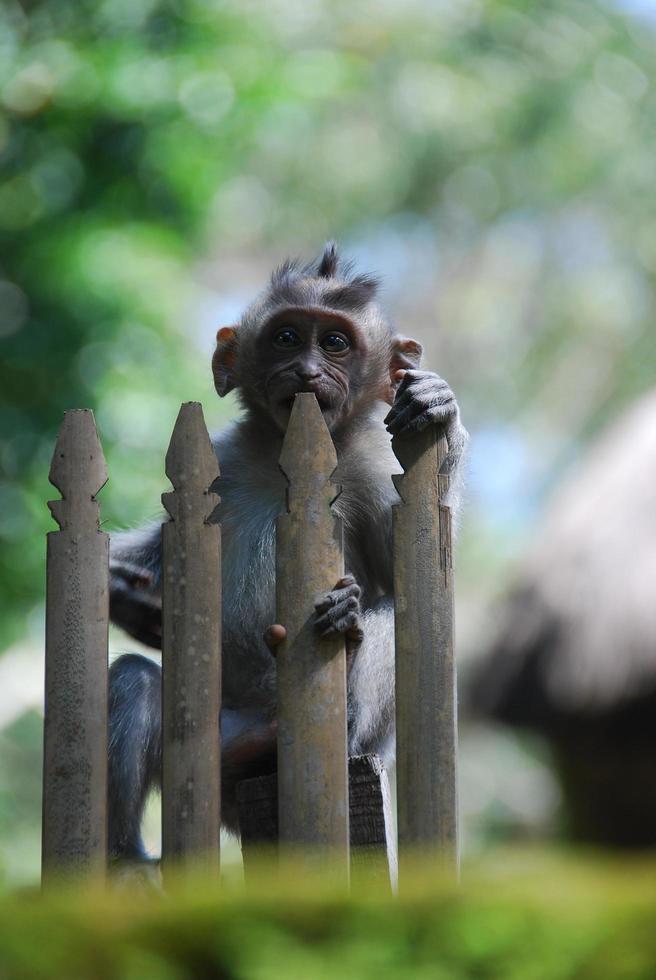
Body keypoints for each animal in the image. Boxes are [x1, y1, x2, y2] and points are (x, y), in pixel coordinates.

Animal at [107, 245, 466, 856]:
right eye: (287, 337)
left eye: (336, 343)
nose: (307, 371)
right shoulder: (221, 465)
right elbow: (157, 555)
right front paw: (126, 595)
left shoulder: (370, 471)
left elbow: (412, 570)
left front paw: (441, 408)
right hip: (210, 746)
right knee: (135, 682)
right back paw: (126, 856)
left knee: (394, 617)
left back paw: (343, 693)